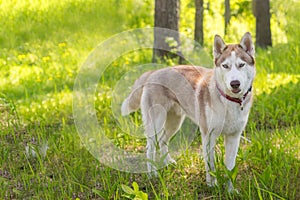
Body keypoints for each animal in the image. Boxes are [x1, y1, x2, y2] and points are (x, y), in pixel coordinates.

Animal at [121, 32, 255, 191]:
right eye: (225, 66)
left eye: (241, 65)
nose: (235, 83)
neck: (229, 100)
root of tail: (153, 72)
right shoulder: (209, 135)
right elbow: (210, 165)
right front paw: (212, 185)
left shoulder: (234, 136)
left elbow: (230, 167)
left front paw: (230, 190)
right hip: (155, 123)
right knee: (150, 148)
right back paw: (152, 174)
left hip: (175, 122)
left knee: (163, 140)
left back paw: (168, 162)